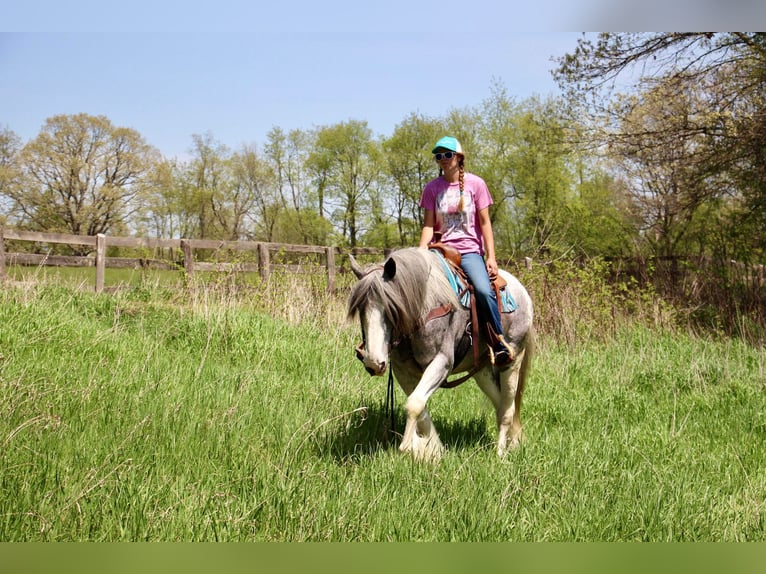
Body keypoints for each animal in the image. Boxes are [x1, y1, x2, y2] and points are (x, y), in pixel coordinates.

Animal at [348, 249, 536, 464]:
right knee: (499, 404)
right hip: (483, 371)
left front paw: (409, 447)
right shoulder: (403, 371)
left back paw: (501, 452)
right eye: (360, 309)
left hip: (512, 362)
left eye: (392, 308)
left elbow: (414, 404)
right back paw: (512, 443)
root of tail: (522, 292)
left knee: (507, 409)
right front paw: (432, 449)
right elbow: (418, 406)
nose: (373, 362)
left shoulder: (441, 363)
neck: (426, 308)